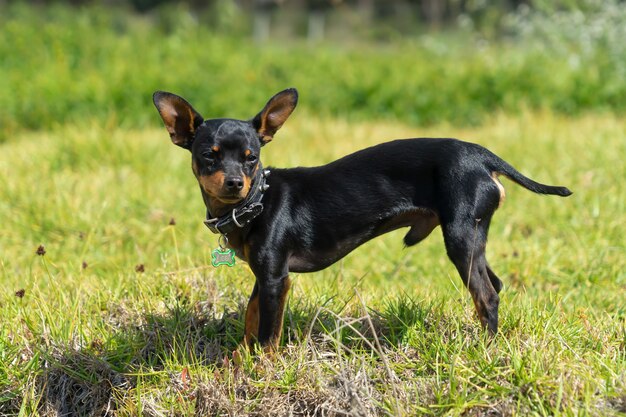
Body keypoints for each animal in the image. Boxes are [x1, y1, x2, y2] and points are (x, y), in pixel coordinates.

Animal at [152, 89, 572, 350]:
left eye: (251, 158)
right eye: (209, 155)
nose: (236, 182)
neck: (255, 203)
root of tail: (484, 156)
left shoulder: (275, 279)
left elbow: (269, 334)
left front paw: (261, 370)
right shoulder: (265, 276)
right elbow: (251, 320)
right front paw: (239, 362)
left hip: (460, 238)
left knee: (486, 294)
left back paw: (486, 350)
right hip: (474, 238)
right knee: (493, 286)